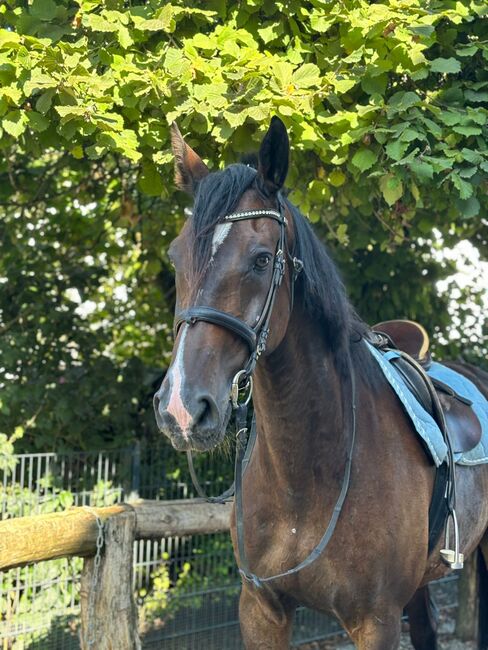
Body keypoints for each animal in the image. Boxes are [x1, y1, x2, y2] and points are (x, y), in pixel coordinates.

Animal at [153, 116, 488, 648]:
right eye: (175, 256)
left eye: (262, 259)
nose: (181, 408)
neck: (306, 478)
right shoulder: (261, 612)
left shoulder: (376, 622)